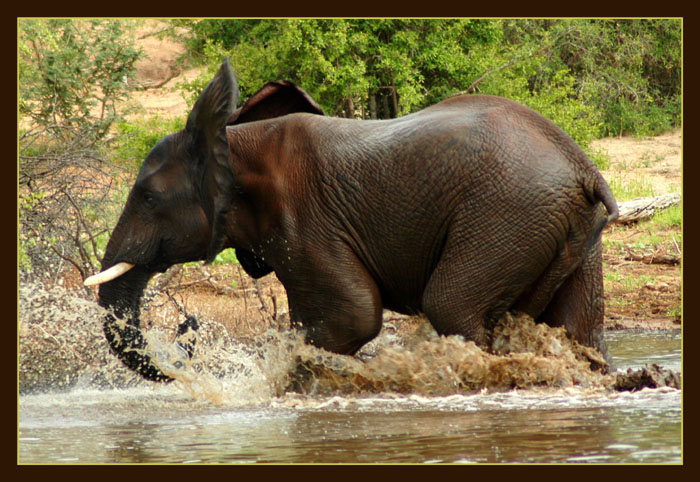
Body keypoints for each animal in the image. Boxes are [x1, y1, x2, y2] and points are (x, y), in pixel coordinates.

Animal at [86, 58, 616, 382]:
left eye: (147, 197)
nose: (187, 326)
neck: (237, 142)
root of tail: (581, 166)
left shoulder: (305, 222)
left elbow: (351, 316)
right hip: (566, 231)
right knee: (579, 326)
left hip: (507, 213)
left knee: (451, 305)